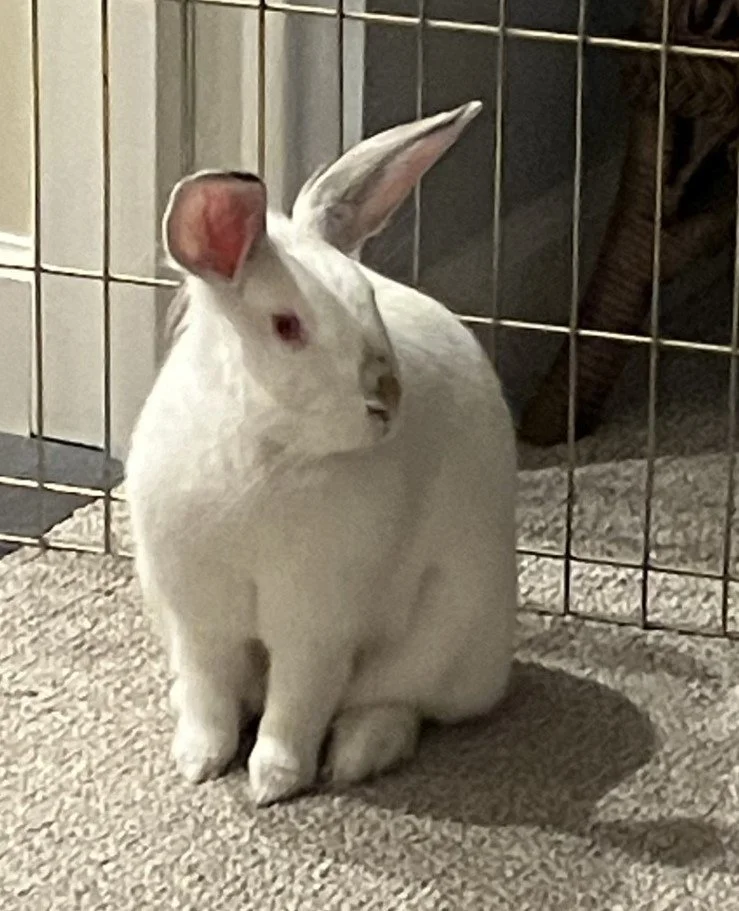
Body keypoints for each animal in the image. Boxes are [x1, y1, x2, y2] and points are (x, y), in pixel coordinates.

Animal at [125, 100, 518, 807]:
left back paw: (358, 756)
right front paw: (199, 761)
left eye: (369, 300)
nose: (386, 398)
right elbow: (212, 691)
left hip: (447, 644)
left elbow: (297, 704)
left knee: (396, 704)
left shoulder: (316, 621)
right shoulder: (197, 612)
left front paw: (271, 783)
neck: (263, 448)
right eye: (287, 326)